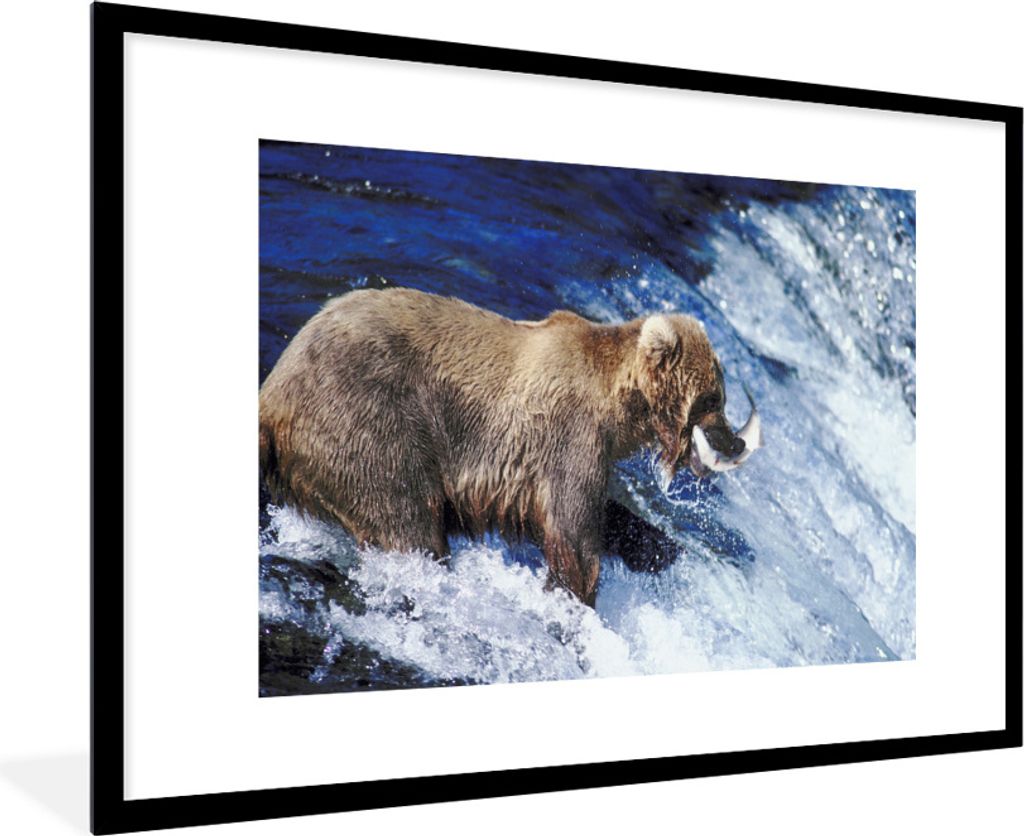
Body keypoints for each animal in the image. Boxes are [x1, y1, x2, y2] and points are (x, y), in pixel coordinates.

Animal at [259, 287, 756, 606]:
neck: (618, 405)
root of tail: (272, 393)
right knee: (405, 520)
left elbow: (603, 514)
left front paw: (660, 548)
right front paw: (577, 597)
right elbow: (572, 534)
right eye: (713, 399)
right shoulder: (568, 436)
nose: (733, 440)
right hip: (368, 422)